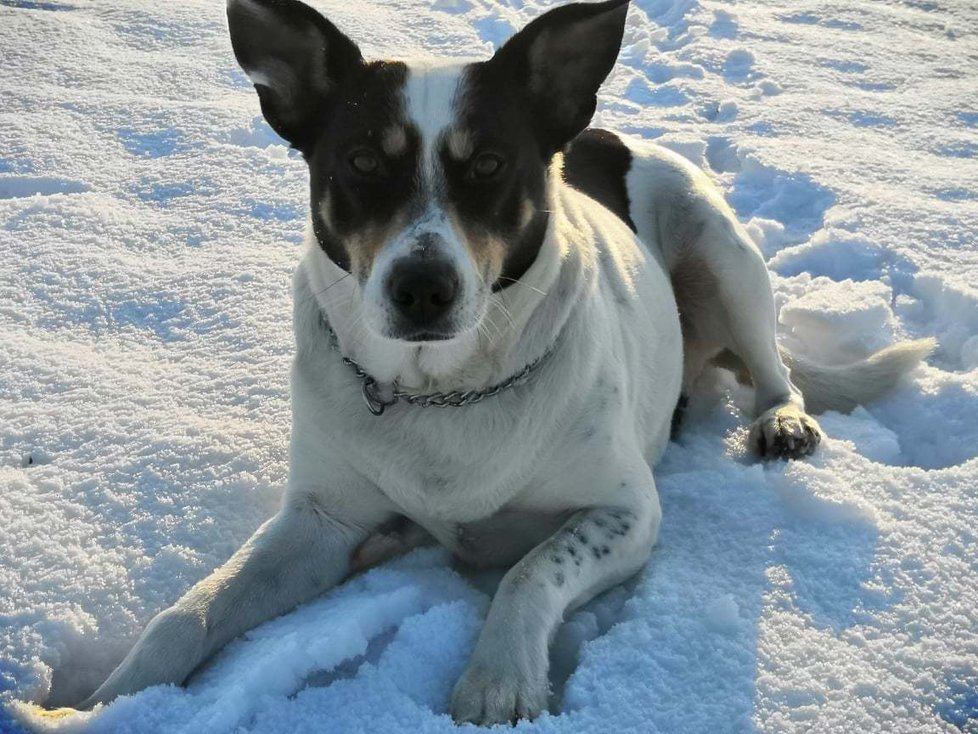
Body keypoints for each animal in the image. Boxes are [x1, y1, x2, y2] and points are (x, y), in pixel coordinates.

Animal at [74, 0, 932, 724]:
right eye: (361, 162)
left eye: (488, 165)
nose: (423, 287)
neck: (440, 389)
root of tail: (603, 132)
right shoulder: (320, 520)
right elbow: (190, 611)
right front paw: (112, 701)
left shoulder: (628, 511)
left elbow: (531, 569)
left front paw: (498, 677)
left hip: (721, 249)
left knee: (774, 366)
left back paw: (783, 419)